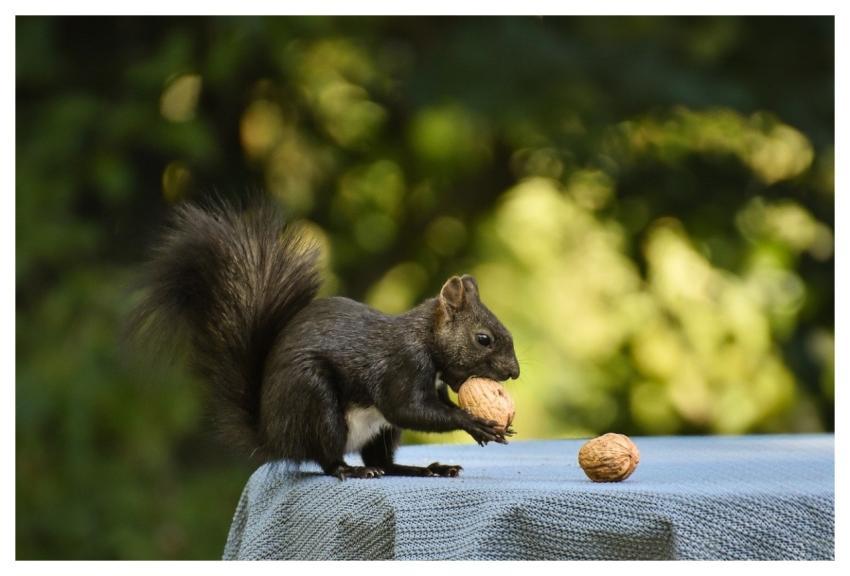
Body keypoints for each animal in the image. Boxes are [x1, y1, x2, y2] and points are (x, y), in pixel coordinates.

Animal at [130, 199, 520, 479]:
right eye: (483, 339)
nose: (514, 372)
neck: (426, 339)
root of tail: (273, 436)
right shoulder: (402, 365)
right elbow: (408, 408)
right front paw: (475, 423)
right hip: (316, 402)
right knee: (326, 458)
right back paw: (352, 470)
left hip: (381, 431)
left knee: (384, 460)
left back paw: (422, 468)